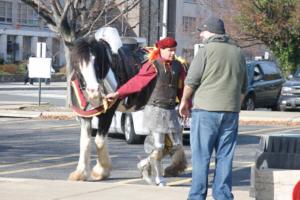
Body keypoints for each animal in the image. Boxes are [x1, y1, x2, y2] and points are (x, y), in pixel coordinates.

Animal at [68, 27, 152, 181]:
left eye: (96, 60)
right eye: (76, 62)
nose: (93, 91)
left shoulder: (108, 113)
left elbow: (99, 141)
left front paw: (101, 171)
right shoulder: (86, 116)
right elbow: (85, 142)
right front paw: (80, 173)